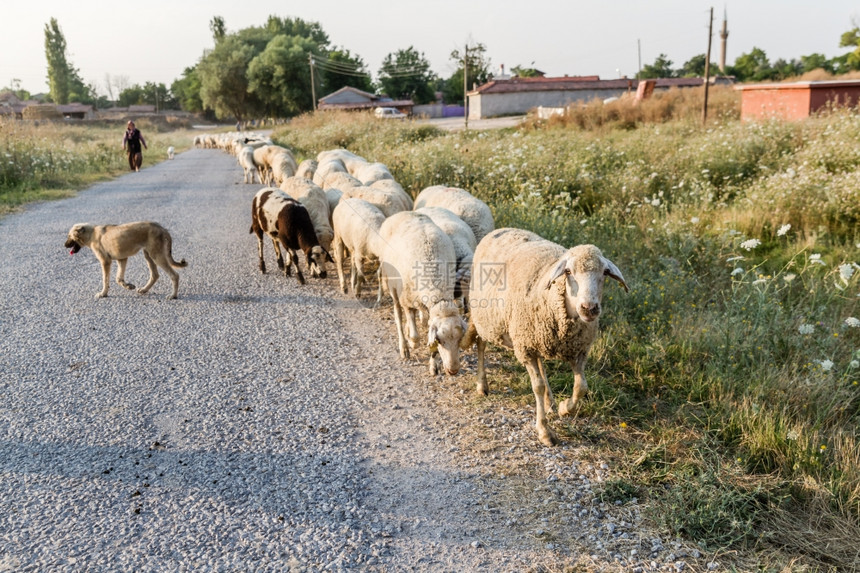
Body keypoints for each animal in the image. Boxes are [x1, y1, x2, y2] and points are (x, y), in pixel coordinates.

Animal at [380, 210, 466, 376]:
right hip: (392, 285)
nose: (453, 371)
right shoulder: (406, 302)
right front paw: (413, 343)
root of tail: (403, 212)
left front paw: (433, 366)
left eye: (460, 340)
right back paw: (404, 347)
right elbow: (415, 335)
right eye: (440, 340)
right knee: (398, 315)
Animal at [466, 228, 628, 446]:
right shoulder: (525, 348)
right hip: (485, 318)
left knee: (541, 363)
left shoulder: (578, 350)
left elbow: (581, 387)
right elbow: (538, 386)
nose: (589, 308)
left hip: (536, 339)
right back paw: (482, 385)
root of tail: (501, 229)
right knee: (481, 345)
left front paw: (564, 408)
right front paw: (544, 431)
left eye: (604, 273)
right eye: (568, 272)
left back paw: (550, 402)